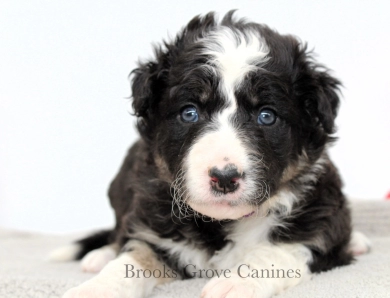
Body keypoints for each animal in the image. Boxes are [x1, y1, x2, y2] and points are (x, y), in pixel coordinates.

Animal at [50, 11, 370, 298]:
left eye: (267, 116)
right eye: (189, 112)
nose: (224, 177)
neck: (221, 223)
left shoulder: (319, 225)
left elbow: (279, 250)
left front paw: (237, 284)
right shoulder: (156, 230)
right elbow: (133, 258)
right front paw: (96, 289)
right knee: (118, 233)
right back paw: (99, 255)